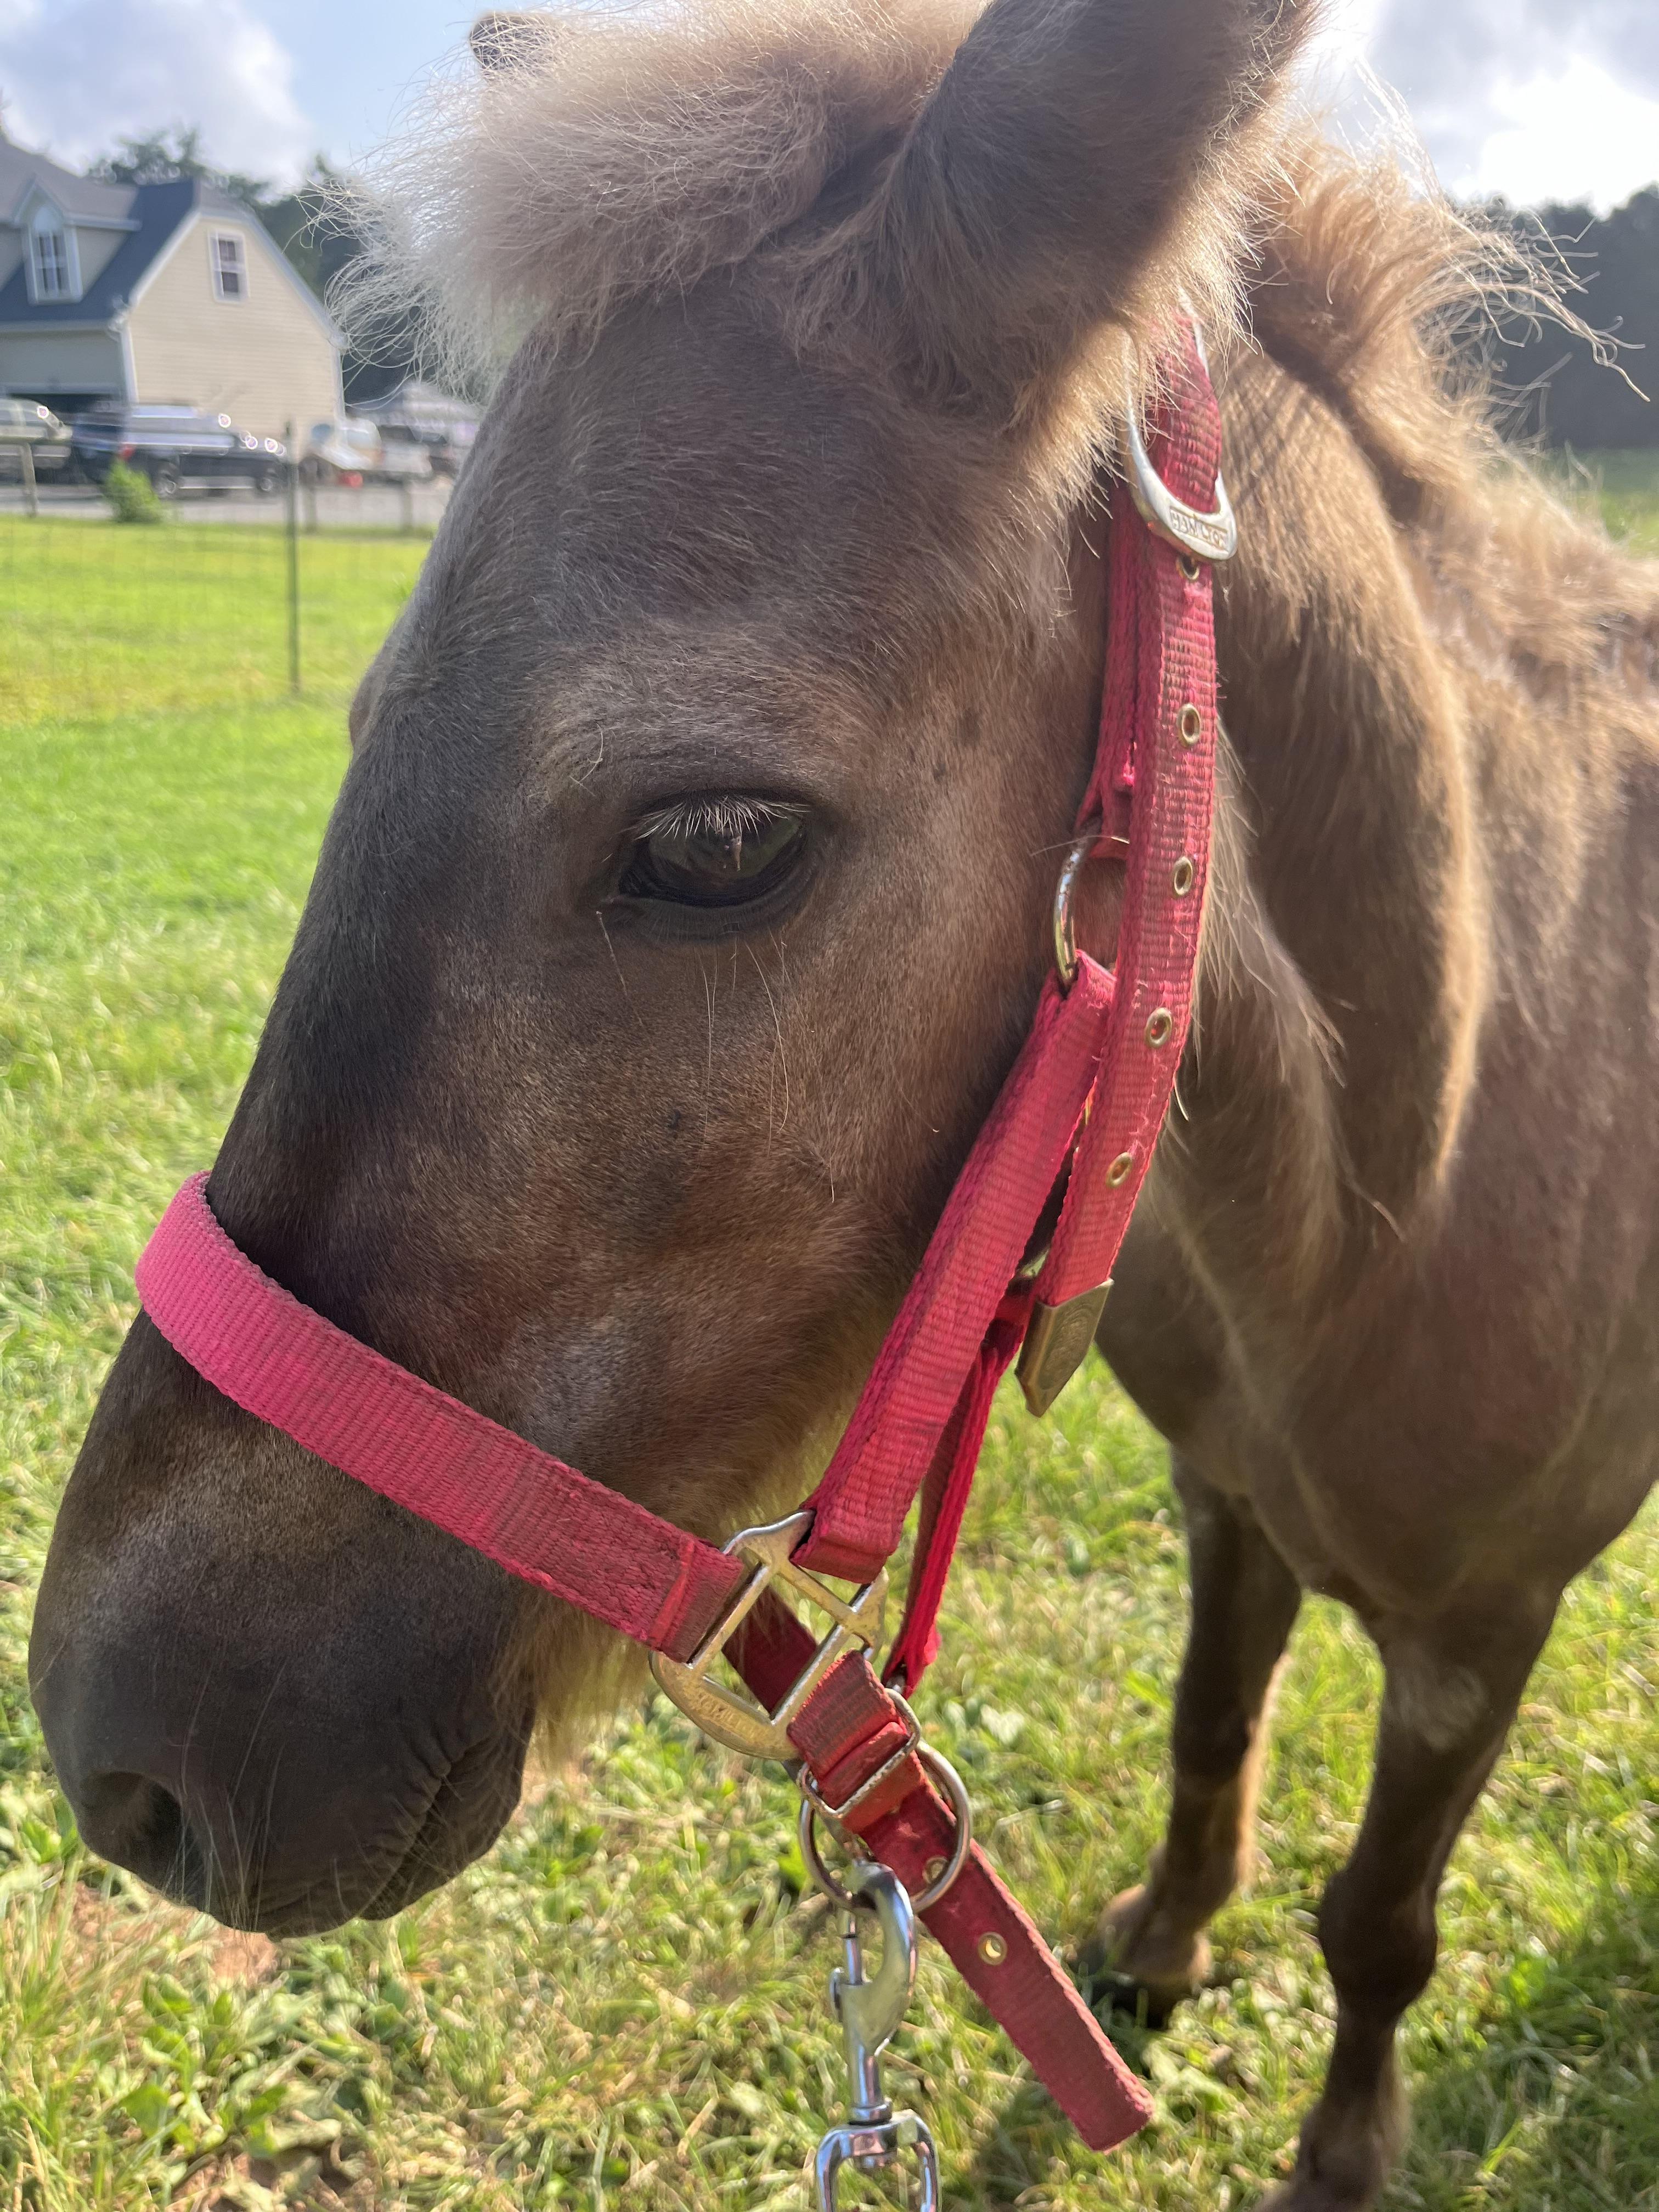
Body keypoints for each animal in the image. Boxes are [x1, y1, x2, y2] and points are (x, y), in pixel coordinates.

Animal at [27, 0, 1659, 2204]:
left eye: (716, 839)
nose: (119, 1761)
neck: (1414, 1152)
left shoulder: (1477, 1636)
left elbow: (1379, 1922)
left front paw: (1338, 2148)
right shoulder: (1221, 1495)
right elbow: (1205, 1730)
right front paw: (1163, 1933)